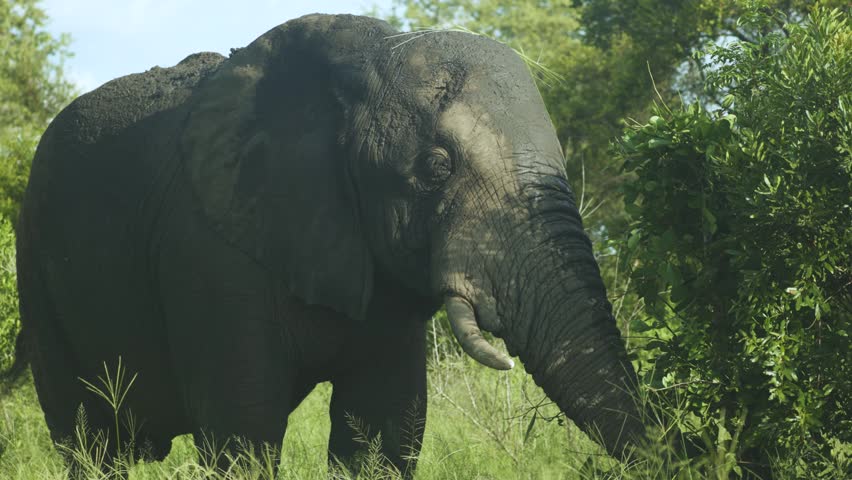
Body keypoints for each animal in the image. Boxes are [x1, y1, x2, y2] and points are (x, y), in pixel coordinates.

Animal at [14, 13, 643, 476]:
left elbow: (384, 426)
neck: (367, 57)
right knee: (86, 441)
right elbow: (243, 425)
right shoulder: (209, 252)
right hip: (37, 268)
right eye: (435, 167)